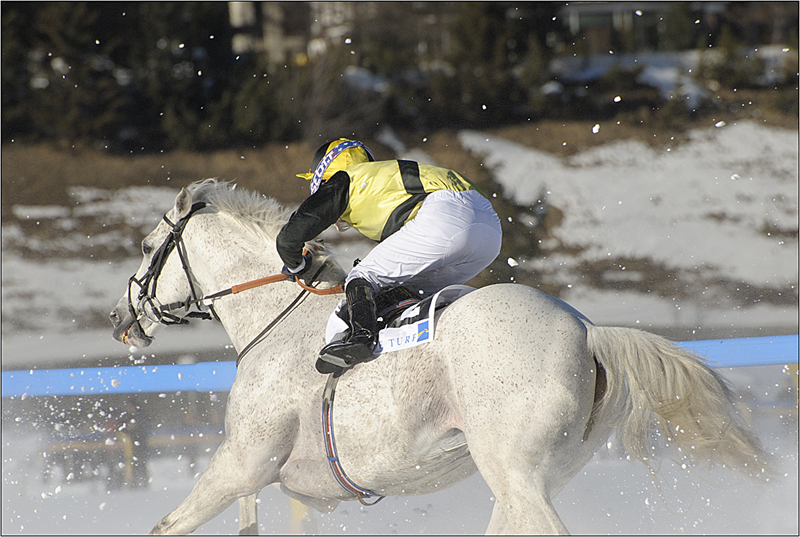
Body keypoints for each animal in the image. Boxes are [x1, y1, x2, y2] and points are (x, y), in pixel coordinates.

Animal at [111, 179, 768, 532]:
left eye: (146, 247)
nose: (121, 320)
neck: (276, 321)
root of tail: (586, 332)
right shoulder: (254, 475)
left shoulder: (243, 463)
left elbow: (165, 525)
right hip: (528, 477)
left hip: (512, 468)